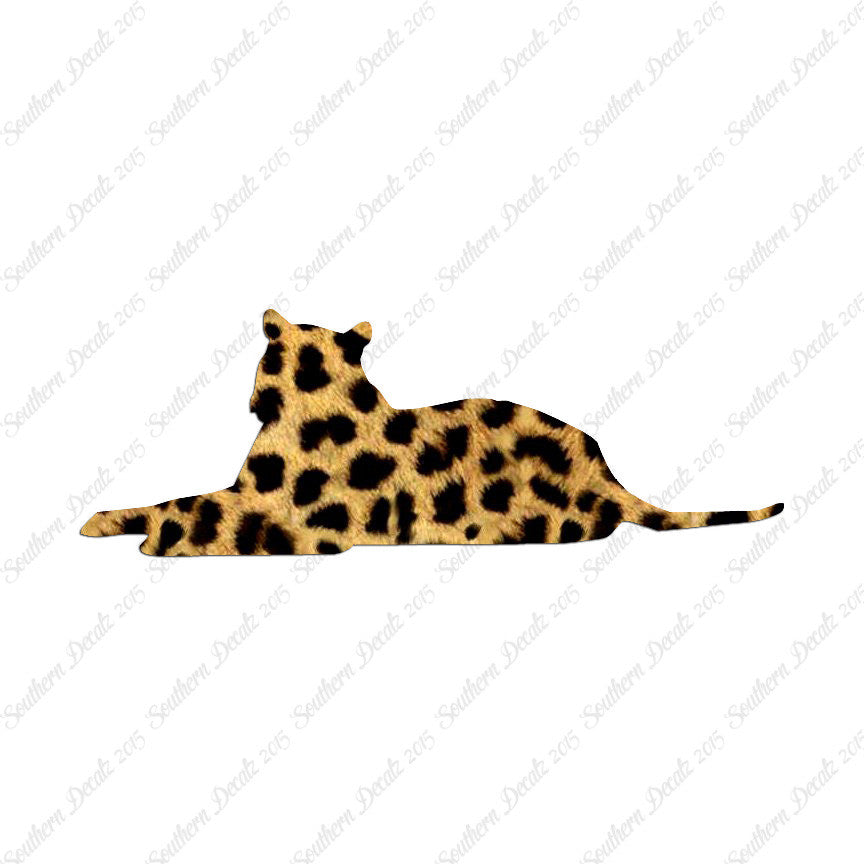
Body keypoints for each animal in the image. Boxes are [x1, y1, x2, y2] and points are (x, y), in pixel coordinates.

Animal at [81, 310, 783, 556]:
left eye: (256, 362)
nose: (246, 398)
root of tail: (610, 475)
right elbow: (167, 499)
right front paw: (104, 520)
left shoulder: (283, 517)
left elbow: (184, 509)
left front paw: (136, 536)